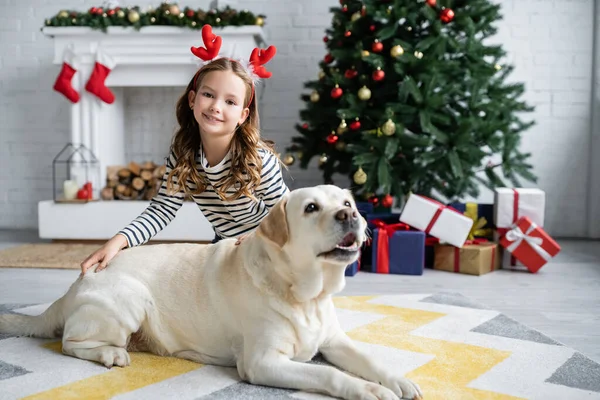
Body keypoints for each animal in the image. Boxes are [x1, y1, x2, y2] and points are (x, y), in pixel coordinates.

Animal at [0, 187, 422, 400]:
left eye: (347, 203)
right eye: (311, 208)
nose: (351, 216)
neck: (305, 294)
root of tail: (76, 284)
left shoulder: (334, 340)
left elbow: (367, 358)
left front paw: (397, 381)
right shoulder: (262, 362)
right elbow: (327, 374)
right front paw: (368, 390)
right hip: (129, 298)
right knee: (70, 343)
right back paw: (111, 353)